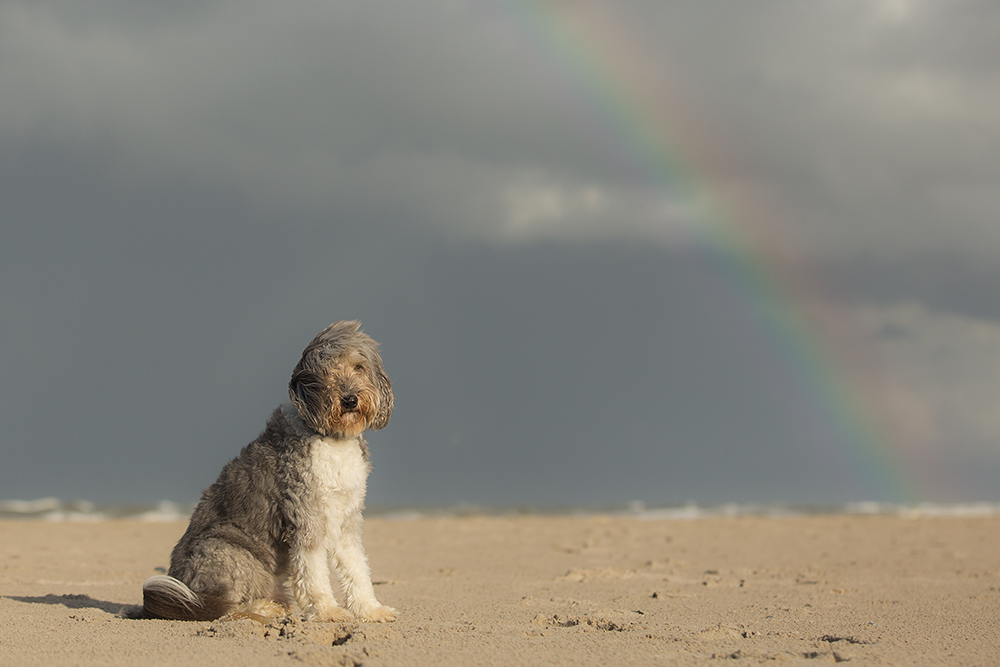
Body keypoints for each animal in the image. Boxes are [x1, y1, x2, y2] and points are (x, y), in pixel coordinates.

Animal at [142, 320, 398, 624]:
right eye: (327, 371)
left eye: (358, 367)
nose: (349, 400)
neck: (332, 439)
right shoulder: (306, 517)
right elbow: (313, 574)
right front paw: (327, 611)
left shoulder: (346, 519)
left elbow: (357, 568)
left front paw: (371, 610)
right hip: (228, 550)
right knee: (223, 607)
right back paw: (265, 607)